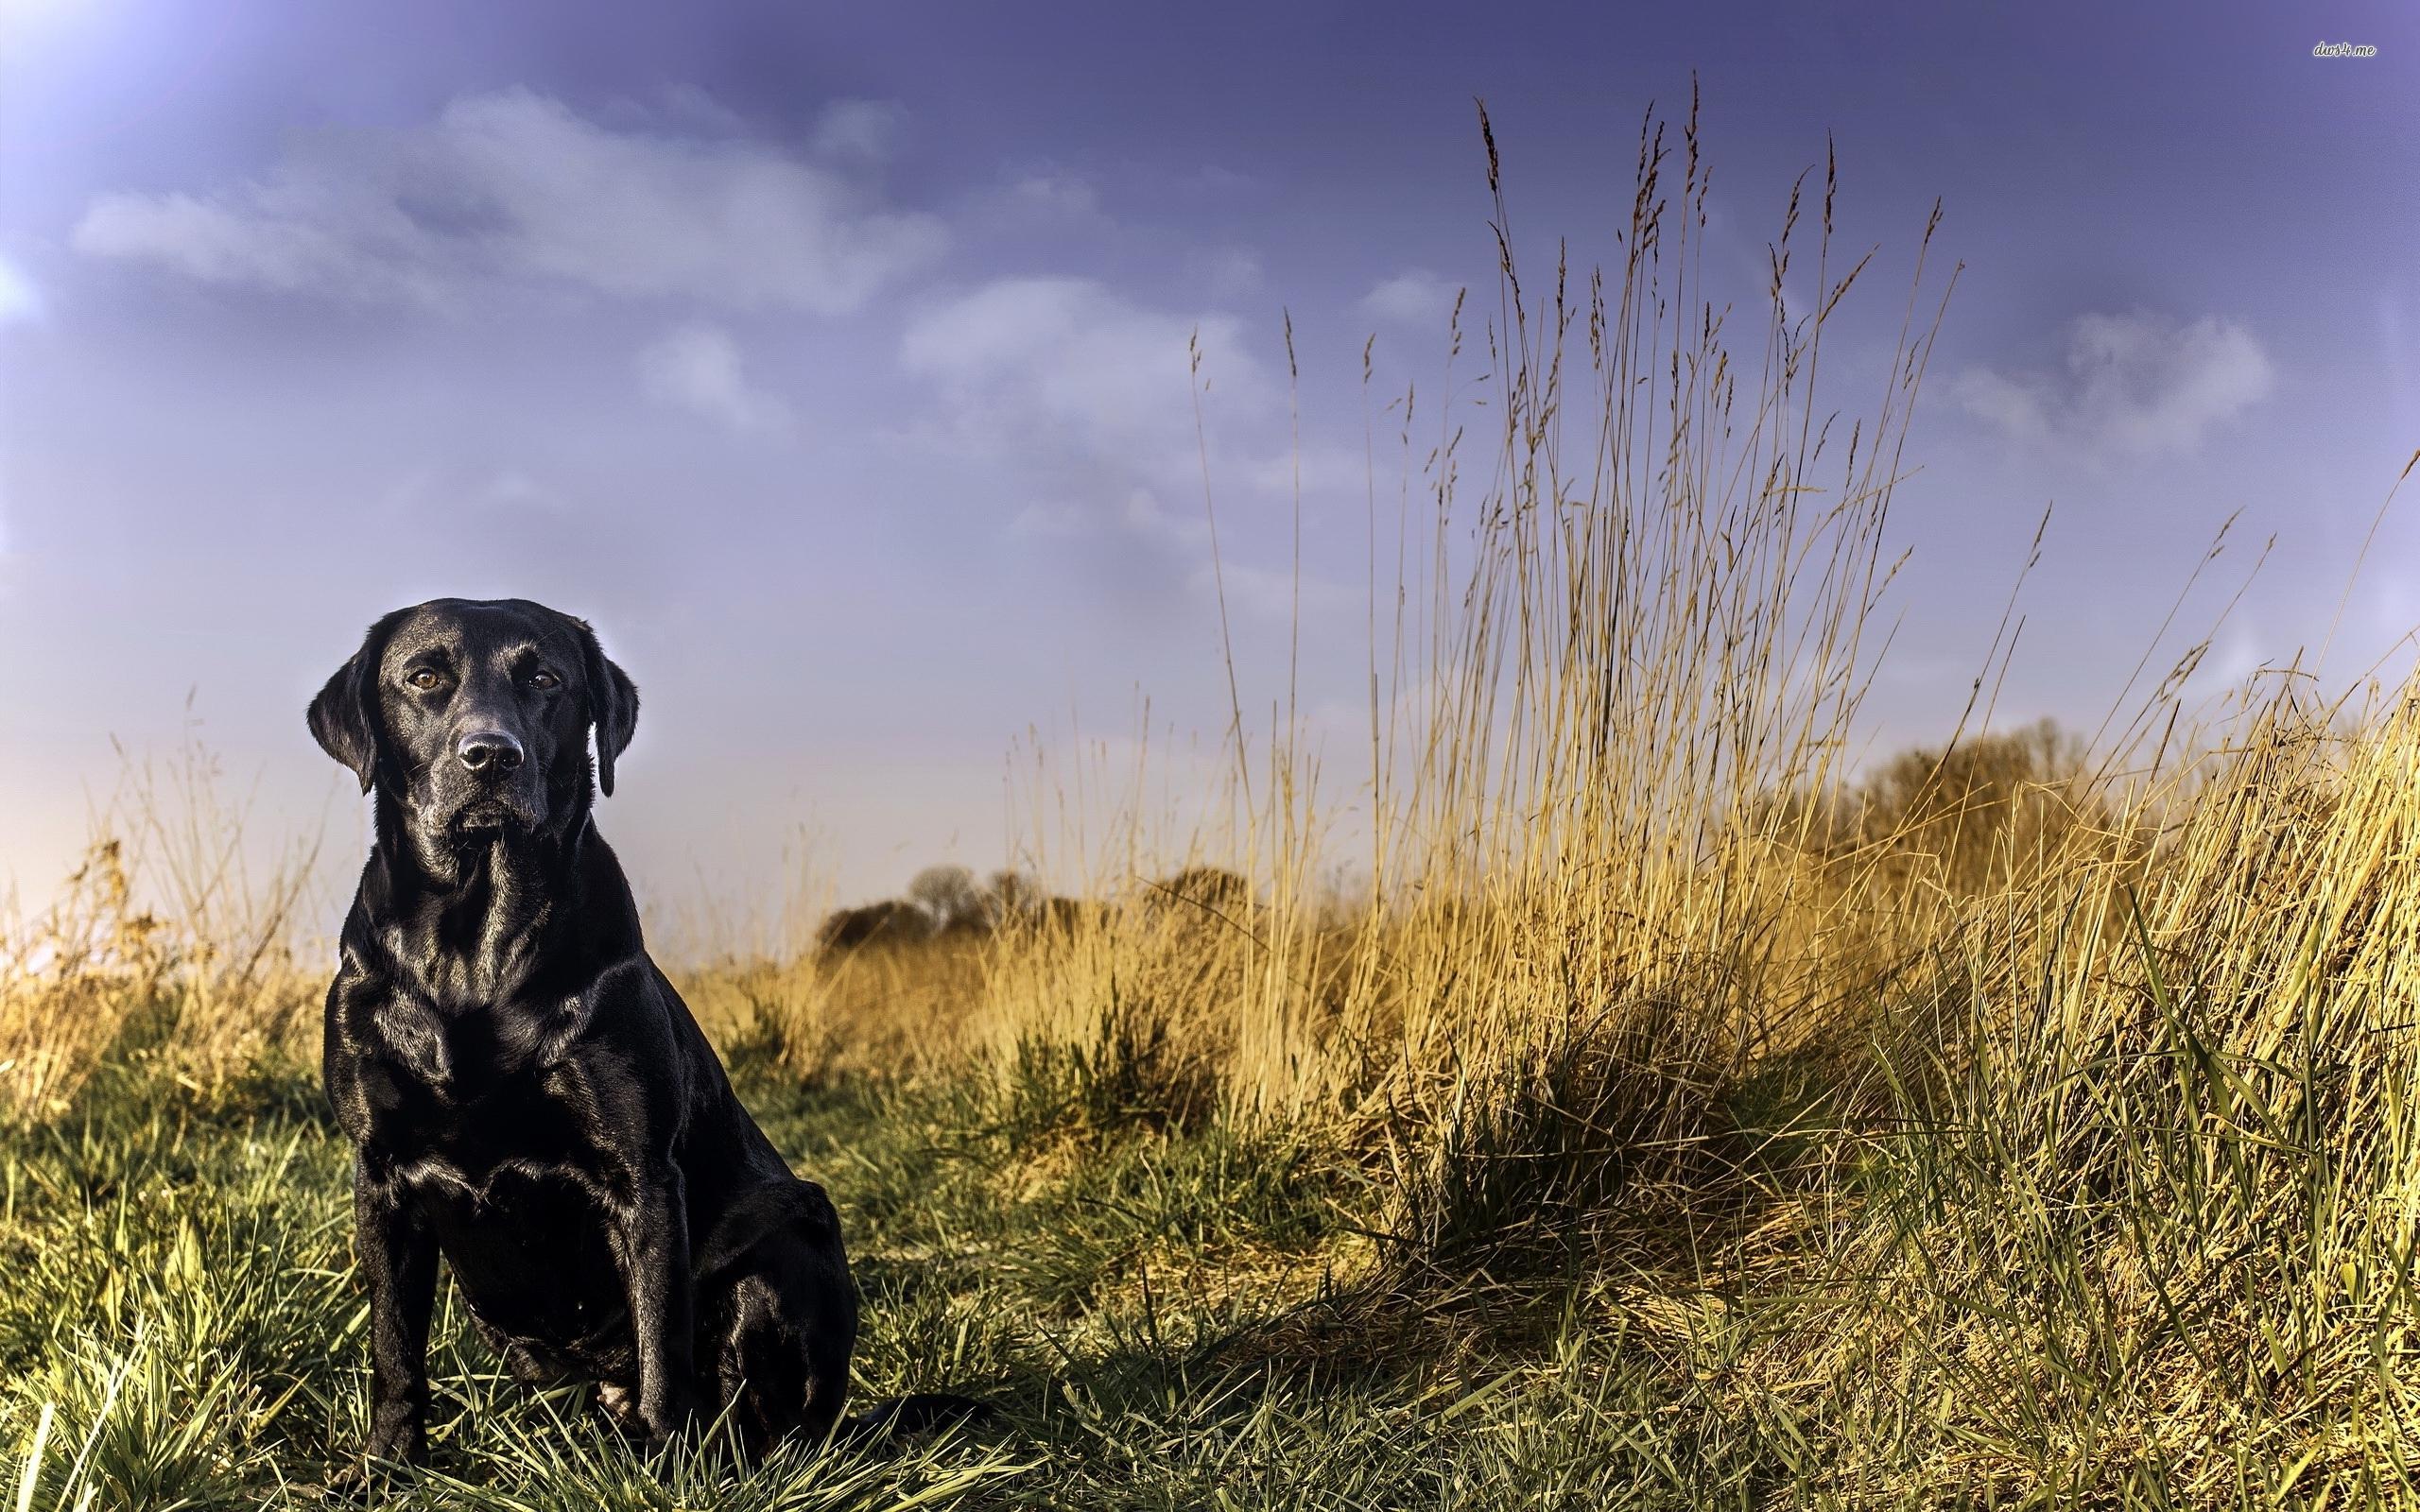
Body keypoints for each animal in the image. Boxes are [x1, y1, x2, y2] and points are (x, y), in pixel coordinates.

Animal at [312, 597, 962, 1461]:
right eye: (423, 678)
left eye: (545, 679)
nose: (492, 756)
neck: (476, 945)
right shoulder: (381, 1173)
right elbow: (394, 1349)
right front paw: (389, 1464)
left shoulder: (642, 1174)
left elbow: (662, 1340)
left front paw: (664, 1462)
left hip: (791, 1235)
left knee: (762, 1421)